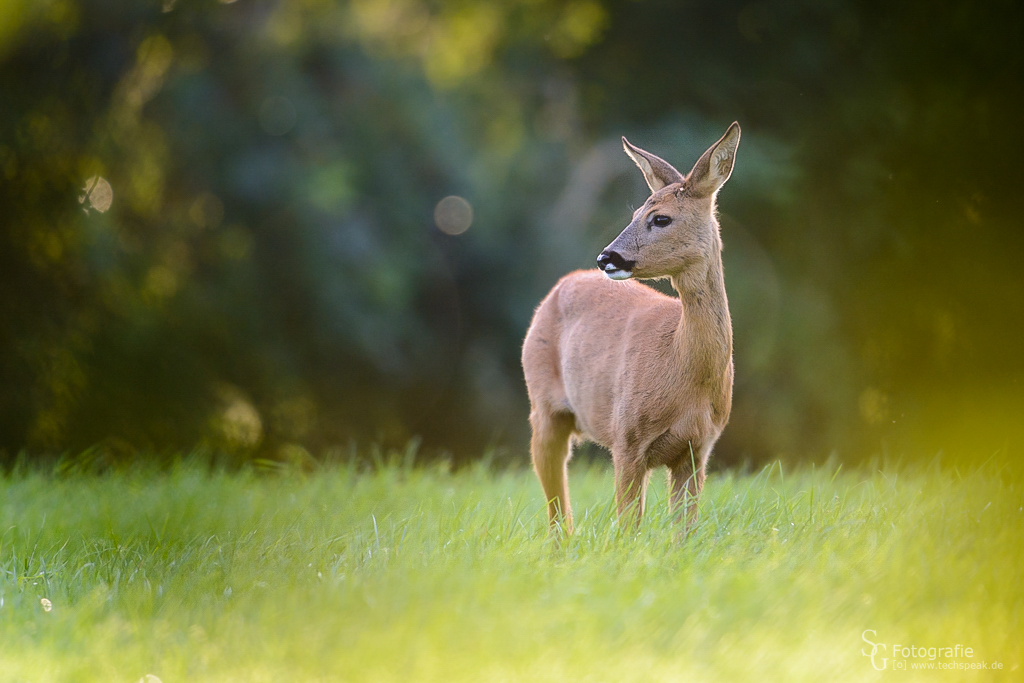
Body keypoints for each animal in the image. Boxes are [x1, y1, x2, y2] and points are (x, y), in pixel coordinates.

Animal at [524, 122, 741, 532]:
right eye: (637, 211)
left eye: (660, 218)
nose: (606, 257)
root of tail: (558, 287)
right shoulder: (626, 438)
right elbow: (627, 526)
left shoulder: (699, 449)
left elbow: (684, 531)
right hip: (542, 403)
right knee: (556, 500)